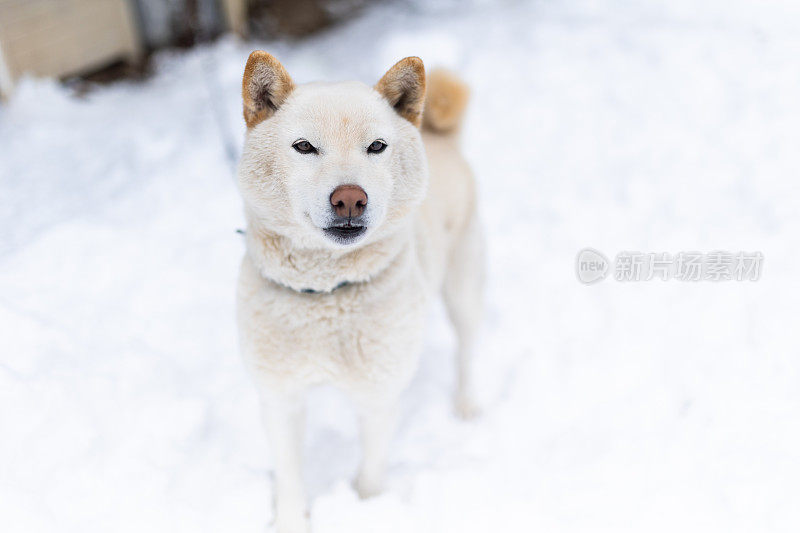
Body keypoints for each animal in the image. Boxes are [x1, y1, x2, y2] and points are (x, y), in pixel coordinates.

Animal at [238, 51, 484, 532]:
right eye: (304, 147)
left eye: (376, 146)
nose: (350, 198)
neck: (326, 292)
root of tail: (439, 137)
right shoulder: (280, 397)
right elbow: (290, 476)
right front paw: (292, 519)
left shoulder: (378, 396)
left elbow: (371, 472)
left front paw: (368, 511)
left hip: (464, 285)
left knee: (468, 345)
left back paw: (467, 404)